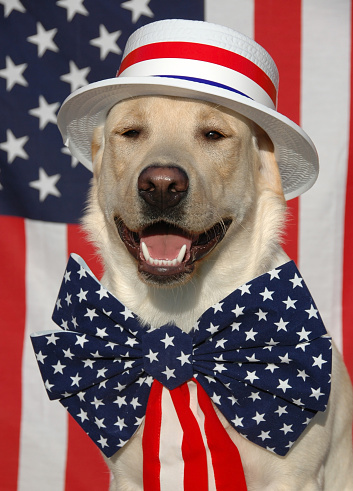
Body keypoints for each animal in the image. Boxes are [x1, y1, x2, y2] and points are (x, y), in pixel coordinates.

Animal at [80, 94, 352, 490]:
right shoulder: (128, 477)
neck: (180, 317)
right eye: (131, 132)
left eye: (213, 134)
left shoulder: (293, 477)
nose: (161, 186)